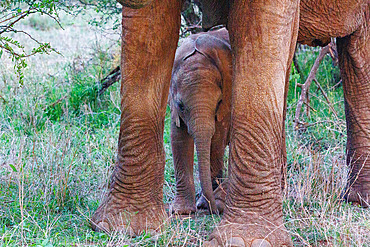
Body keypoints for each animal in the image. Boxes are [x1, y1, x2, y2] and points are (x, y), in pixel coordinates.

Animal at [170, 28, 231, 215]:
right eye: (181, 105)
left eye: (219, 102)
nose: (215, 210)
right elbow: (179, 138)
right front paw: (181, 211)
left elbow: (217, 140)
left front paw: (207, 204)